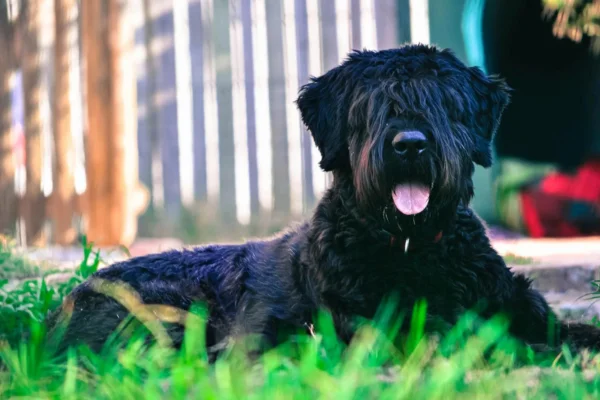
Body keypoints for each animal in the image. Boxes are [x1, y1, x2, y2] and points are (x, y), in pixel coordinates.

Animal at [49, 45, 600, 358]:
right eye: (374, 105)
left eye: (444, 102)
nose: (410, 144)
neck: (415, 249)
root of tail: (61, 306)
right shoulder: (392, 327)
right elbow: (488, 341)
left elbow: (562, 330)